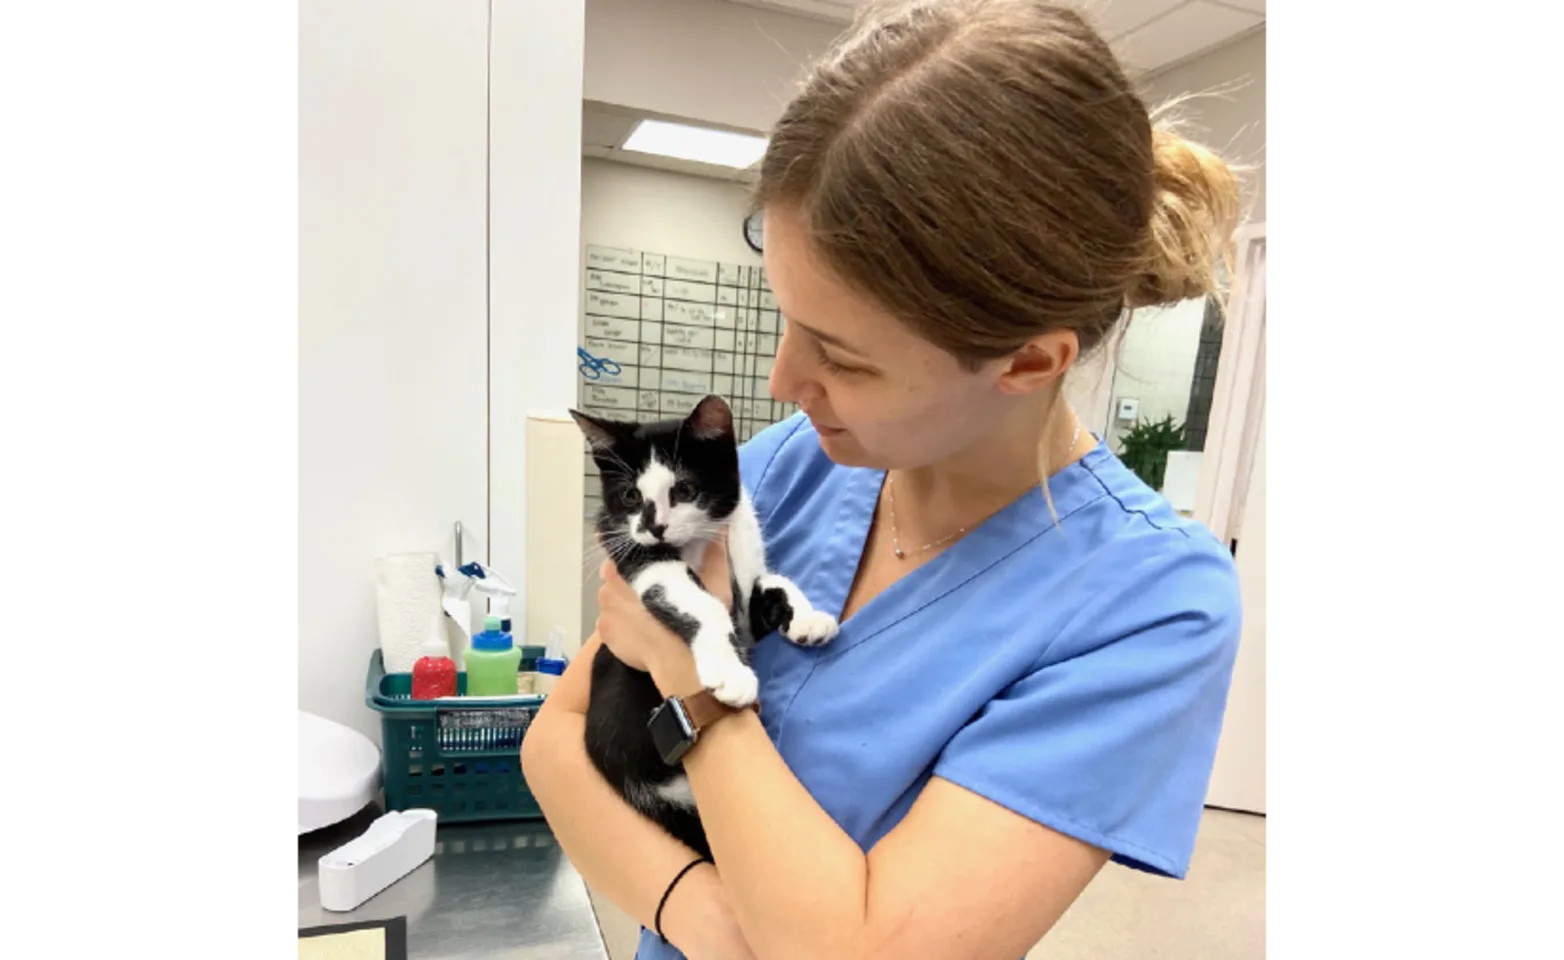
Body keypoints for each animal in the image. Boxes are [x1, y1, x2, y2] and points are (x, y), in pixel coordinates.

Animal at [572, 395, 838, 863]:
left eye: (683, 490)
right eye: (630, 495)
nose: (653, 526)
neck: (699, 541)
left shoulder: (746, 597)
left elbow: (771, 584)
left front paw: (808, 618)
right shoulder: (637, 558)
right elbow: (703, 602)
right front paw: (731, 674)